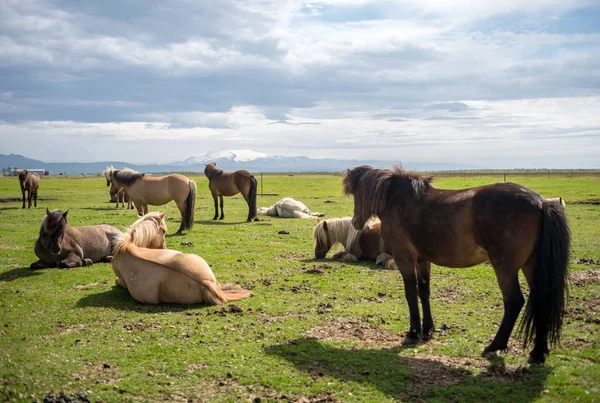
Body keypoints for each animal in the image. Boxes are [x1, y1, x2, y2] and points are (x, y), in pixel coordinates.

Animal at [344, 166, 568, 364]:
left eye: (357, 194)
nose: (355, 222)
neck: (399, 202)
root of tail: (541, 203)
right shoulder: (423, 260)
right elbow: (424, 292)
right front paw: (427, 330)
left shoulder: (404, 259)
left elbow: (411, 294)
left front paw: (413, 333)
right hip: (532, 267)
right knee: (541, 300)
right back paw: (538, 353)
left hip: (505, 269)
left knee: (514, 302)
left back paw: (494, 346)